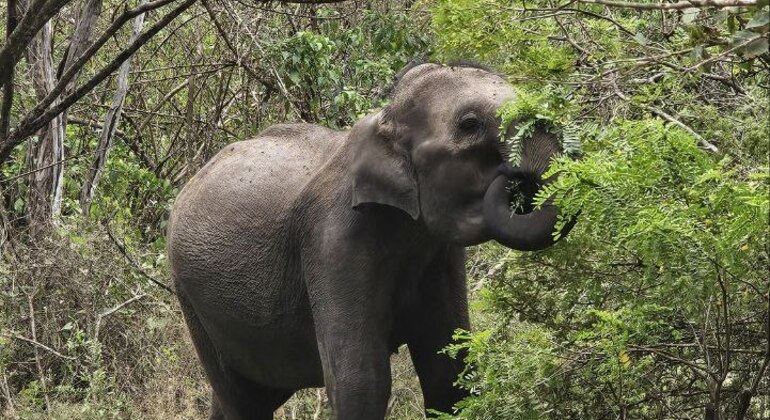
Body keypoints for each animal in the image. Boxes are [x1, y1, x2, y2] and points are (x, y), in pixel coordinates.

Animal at [166, 63, 568, 420]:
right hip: (192, 301)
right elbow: (360, 380)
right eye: (470, 125)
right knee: (242, 400)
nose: (513, 176)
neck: (383, 119)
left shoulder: (439, 254)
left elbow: (447, 371)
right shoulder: (333, 240)